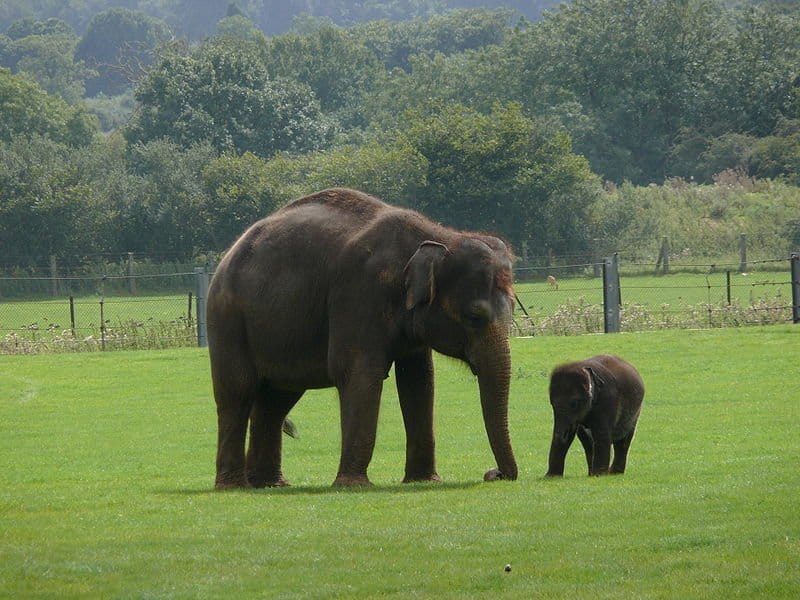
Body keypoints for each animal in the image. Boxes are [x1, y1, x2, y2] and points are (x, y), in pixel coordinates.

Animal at [206, 187, 518, 488]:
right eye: (474, 317)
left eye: (514, 309)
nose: (493, 473)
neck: (439, 236)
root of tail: (227, 255)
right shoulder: (358, 295)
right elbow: (357, 372)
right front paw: (353, 485)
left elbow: (419, 379)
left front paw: (422, 480)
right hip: (227, 321)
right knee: (238, 392)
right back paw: (235, 486)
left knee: (276, 400)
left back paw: (270, 484)